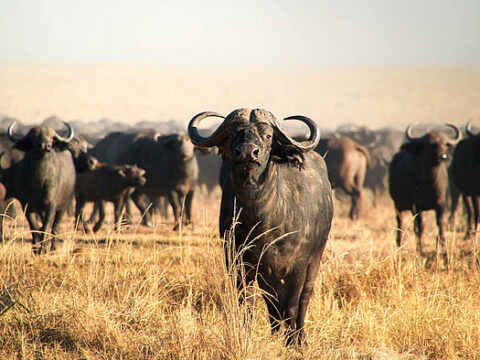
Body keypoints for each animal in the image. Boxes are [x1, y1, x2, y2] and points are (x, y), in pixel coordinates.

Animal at [188, 107, 334, 346]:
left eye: (267, 135)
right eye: (235, 134)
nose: (248, 153)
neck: (262, 218)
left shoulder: (298, 264)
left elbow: (292, 305)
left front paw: (292, 342)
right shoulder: (240, 262)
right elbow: (247, 302)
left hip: (316, 257)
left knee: (303, 300)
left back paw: (301, 337)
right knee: (272, 304)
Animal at [386, 124, 462, 268]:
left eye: (444, 143)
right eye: (429, 144)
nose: (442, 155)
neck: (429, 183)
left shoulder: (441, 205)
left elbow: (441, 225)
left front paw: (444, 255)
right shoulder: (417, 206)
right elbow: (420, 227)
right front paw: (420, 253)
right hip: (398, 206)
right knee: (401, 225)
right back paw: (399, 248)